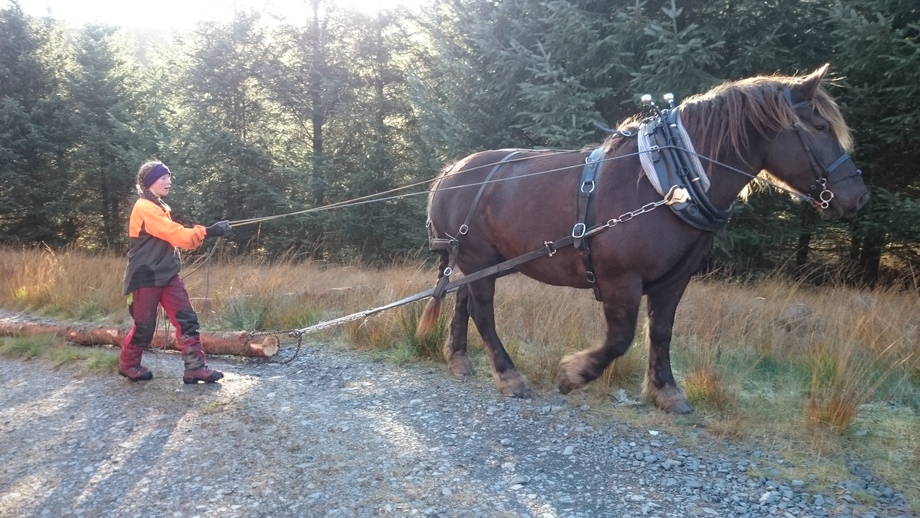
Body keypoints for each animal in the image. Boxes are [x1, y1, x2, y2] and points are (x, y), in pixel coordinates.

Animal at [416, 65, 868, 414]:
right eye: (820, 126)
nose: (858, 196)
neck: (669, 183)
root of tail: (450, 172)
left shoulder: (675, 279)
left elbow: (661, 331)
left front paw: (666, 391)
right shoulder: (621, 280)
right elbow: (620, 339)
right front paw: (574, 375)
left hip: (478, 260)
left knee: (463, 301)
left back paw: (459, 359)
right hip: (478, 257)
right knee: (483, 311)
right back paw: (508, 375)